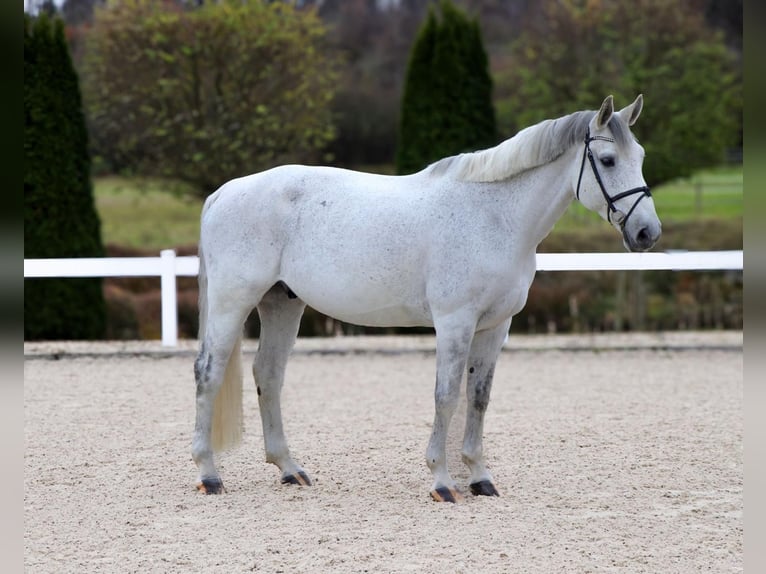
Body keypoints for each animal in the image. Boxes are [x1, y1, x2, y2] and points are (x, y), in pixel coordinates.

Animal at [192, 95, 661, 502]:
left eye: (640, 156)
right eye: (608, 160)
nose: (647, 233)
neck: (493, 216)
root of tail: (223, 192)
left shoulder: (496, 327)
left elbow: (478, 398)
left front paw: (480, 478)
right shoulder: (455, 322)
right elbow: (447, 395)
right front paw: (442, 481)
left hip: (282, 303)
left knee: (269, 375)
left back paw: (289, 468)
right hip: (232, 302)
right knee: (208, 373)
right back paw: (209, 474)